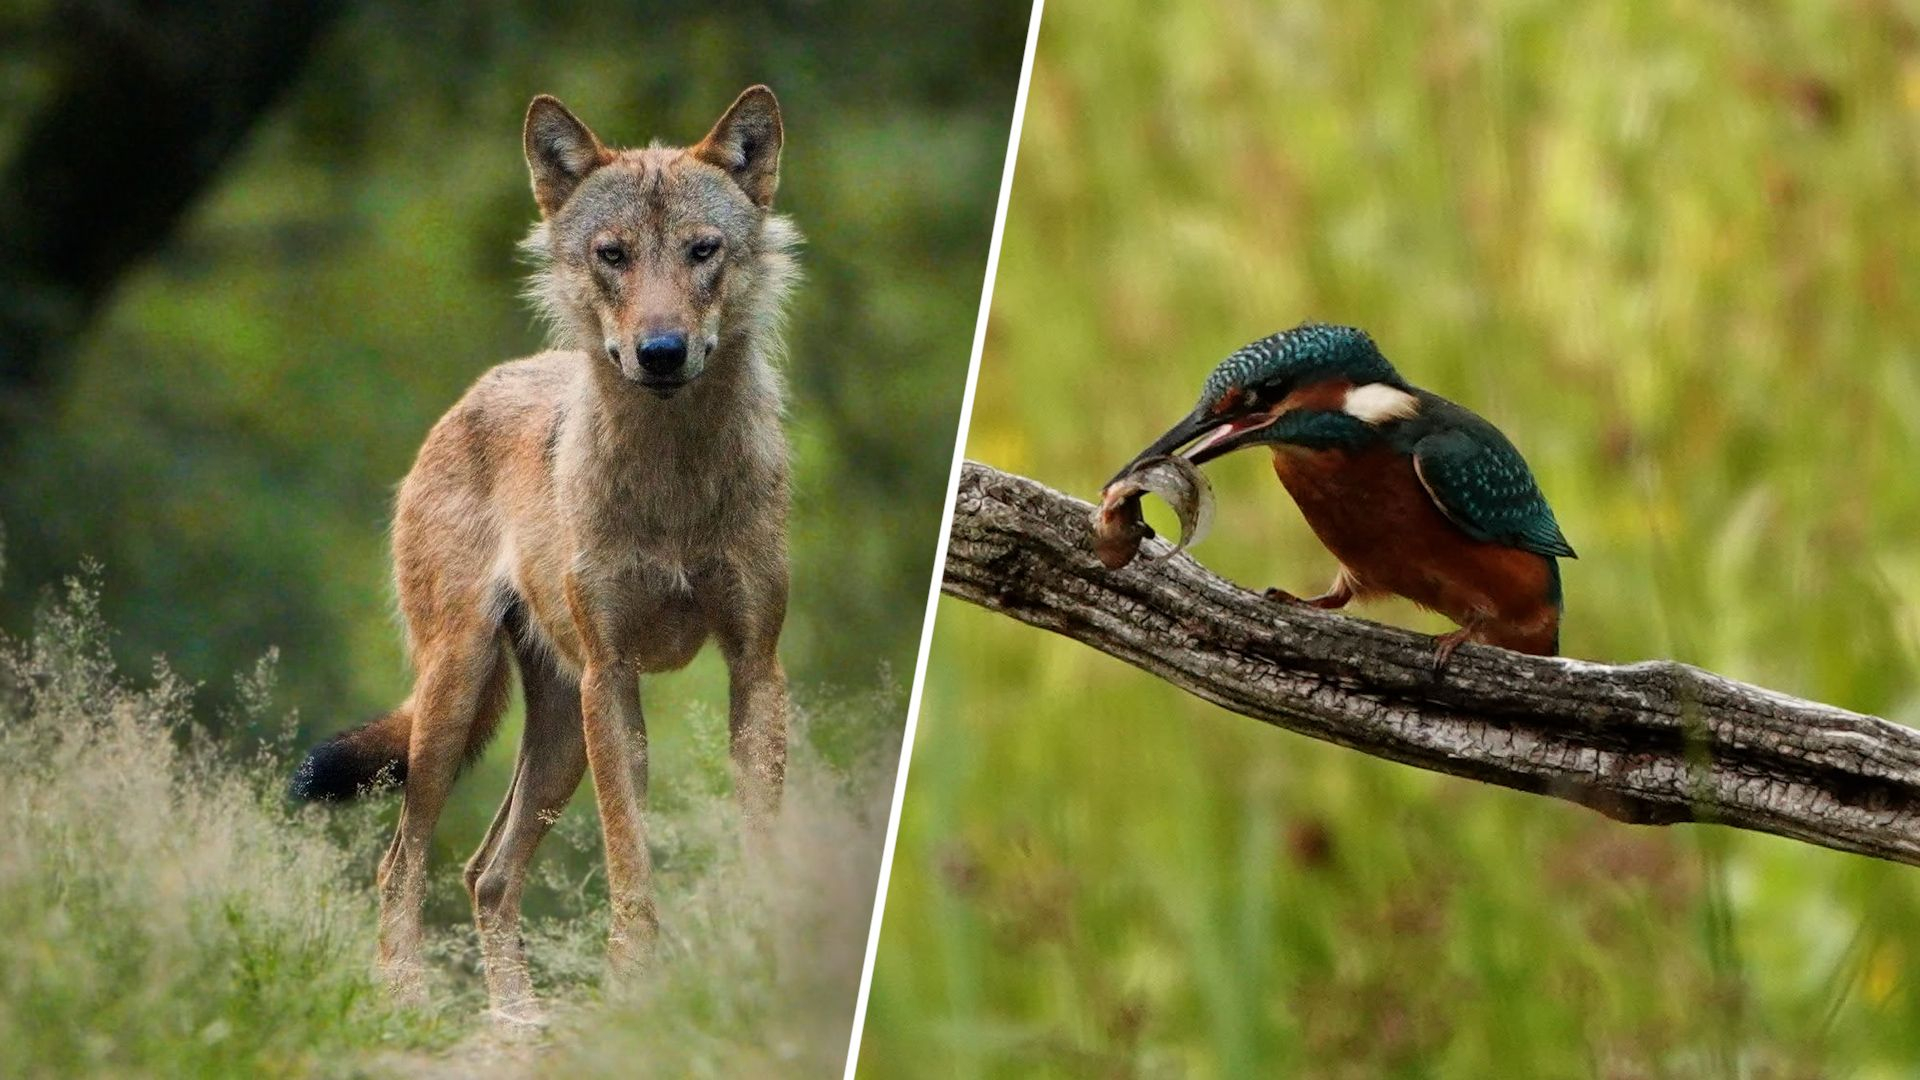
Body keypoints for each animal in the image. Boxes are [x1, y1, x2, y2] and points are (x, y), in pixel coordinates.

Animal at [289, 86, 800, 1020]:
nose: (661, 351)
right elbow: (630, 854)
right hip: (458, 699)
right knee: (402, 862)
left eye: (703, 251)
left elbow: (756, 834)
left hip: (554, 738)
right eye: (613, 255)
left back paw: (518, 1020)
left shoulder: (755, 663)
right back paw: (409, 997)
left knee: (484, 875)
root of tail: (479, 388)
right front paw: (634, 980)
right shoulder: (614, 677)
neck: (673, 480)